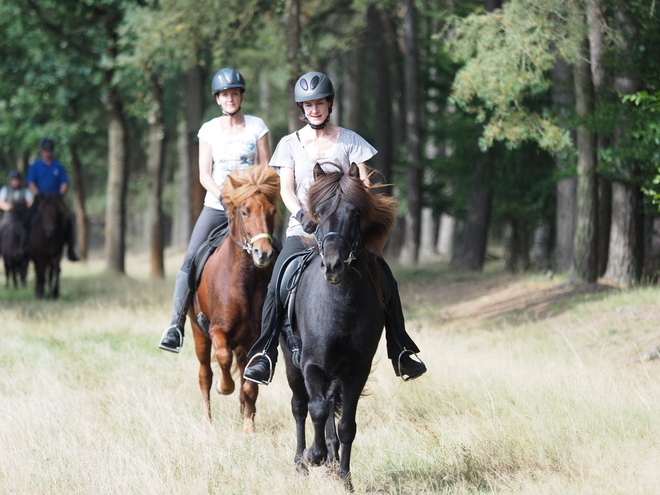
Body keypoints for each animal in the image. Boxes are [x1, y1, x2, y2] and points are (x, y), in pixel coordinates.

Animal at [193, 165, 282, 432]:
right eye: (245, 212)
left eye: (272, 211)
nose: (263, 253)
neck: (243, 283)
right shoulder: (216, 330)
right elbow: (223, 357)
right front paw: (225, 387)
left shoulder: (256, 339)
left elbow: (250, 385)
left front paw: (249, 429)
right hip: (198, 333)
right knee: (205, 375)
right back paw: (208, 421)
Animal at [282, 164, 398, 492]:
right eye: (319, 213)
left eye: (355, 213)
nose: (333, 265)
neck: (340, 305)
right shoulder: (310, 363)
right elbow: (316, 409)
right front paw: (314, 455)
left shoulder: (357, 369)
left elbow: (347, 424)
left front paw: (345, 477)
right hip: (291, 363)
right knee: (300, 406)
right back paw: (301, 463)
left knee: (330, 403)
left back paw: (332, 460)